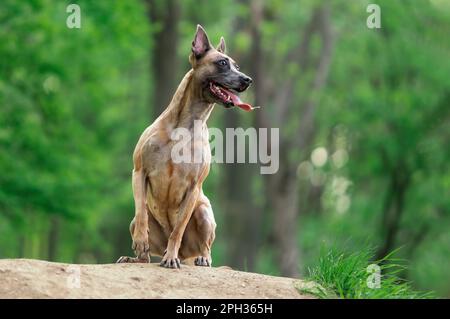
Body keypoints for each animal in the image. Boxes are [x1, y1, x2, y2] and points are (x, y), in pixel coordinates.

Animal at [118, 25, 253, 268]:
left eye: (236, 66)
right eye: (222, 63)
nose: (247, 79)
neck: (186, 124)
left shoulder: (193, 187)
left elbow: (178, 229)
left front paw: (170, 257)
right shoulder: (139, 171)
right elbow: (141, 212)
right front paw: (141, 240)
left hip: (204, 212)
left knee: (205, 246)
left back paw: (199, 258)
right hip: (137, 223)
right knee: (144, 251)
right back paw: (135, 257)